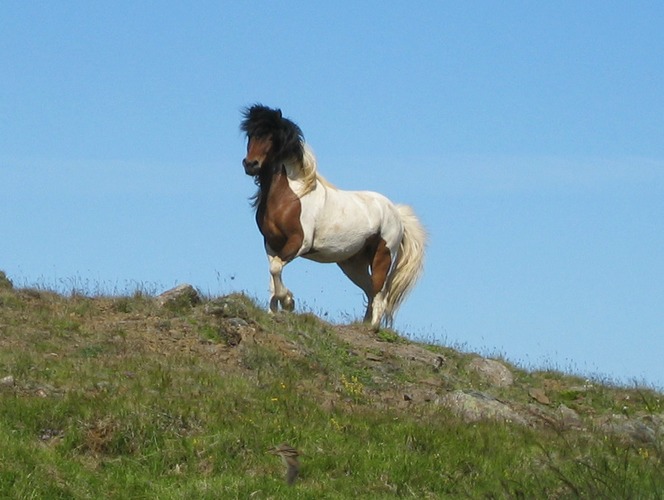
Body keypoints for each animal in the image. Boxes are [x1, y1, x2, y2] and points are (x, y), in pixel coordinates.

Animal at [240, 104, 426, 332]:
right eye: (250, 134)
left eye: (271, 137)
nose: (250, 164)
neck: (291, 196)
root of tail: (396, 212)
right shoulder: (271, 243)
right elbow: (273, 272)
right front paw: (274, 309)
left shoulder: (299, 242)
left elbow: (275, 268)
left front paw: (289, 302)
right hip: (352, 264)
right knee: (370, 289)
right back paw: (363, 324)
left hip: (383, 255)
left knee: (379, 291)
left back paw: (372, 327)